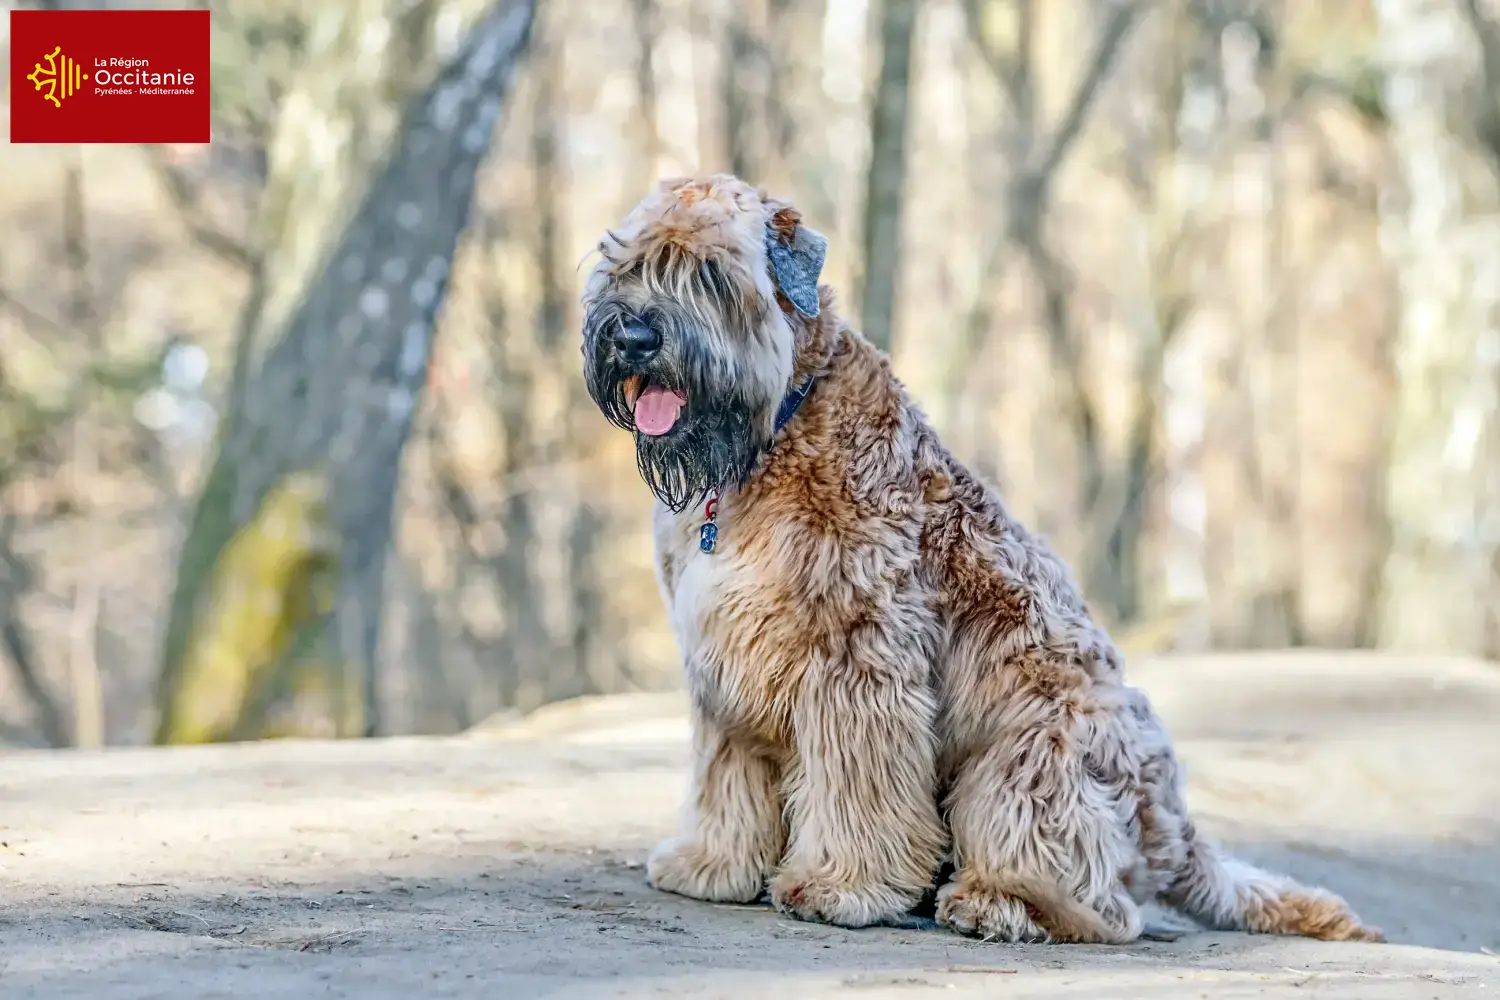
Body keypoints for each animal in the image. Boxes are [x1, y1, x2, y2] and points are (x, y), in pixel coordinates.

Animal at [573, 173, 1380, 947]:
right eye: (627, 266)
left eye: (711, 274)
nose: (634, 338)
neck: (771, 435)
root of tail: (1176, 833)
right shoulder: (726, 661)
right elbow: (726, 776)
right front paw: (711, 864)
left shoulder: (856, 658)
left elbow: (857, 787)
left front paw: (842, 886)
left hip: (1030, 760)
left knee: (1099, 899)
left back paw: (998, 904)